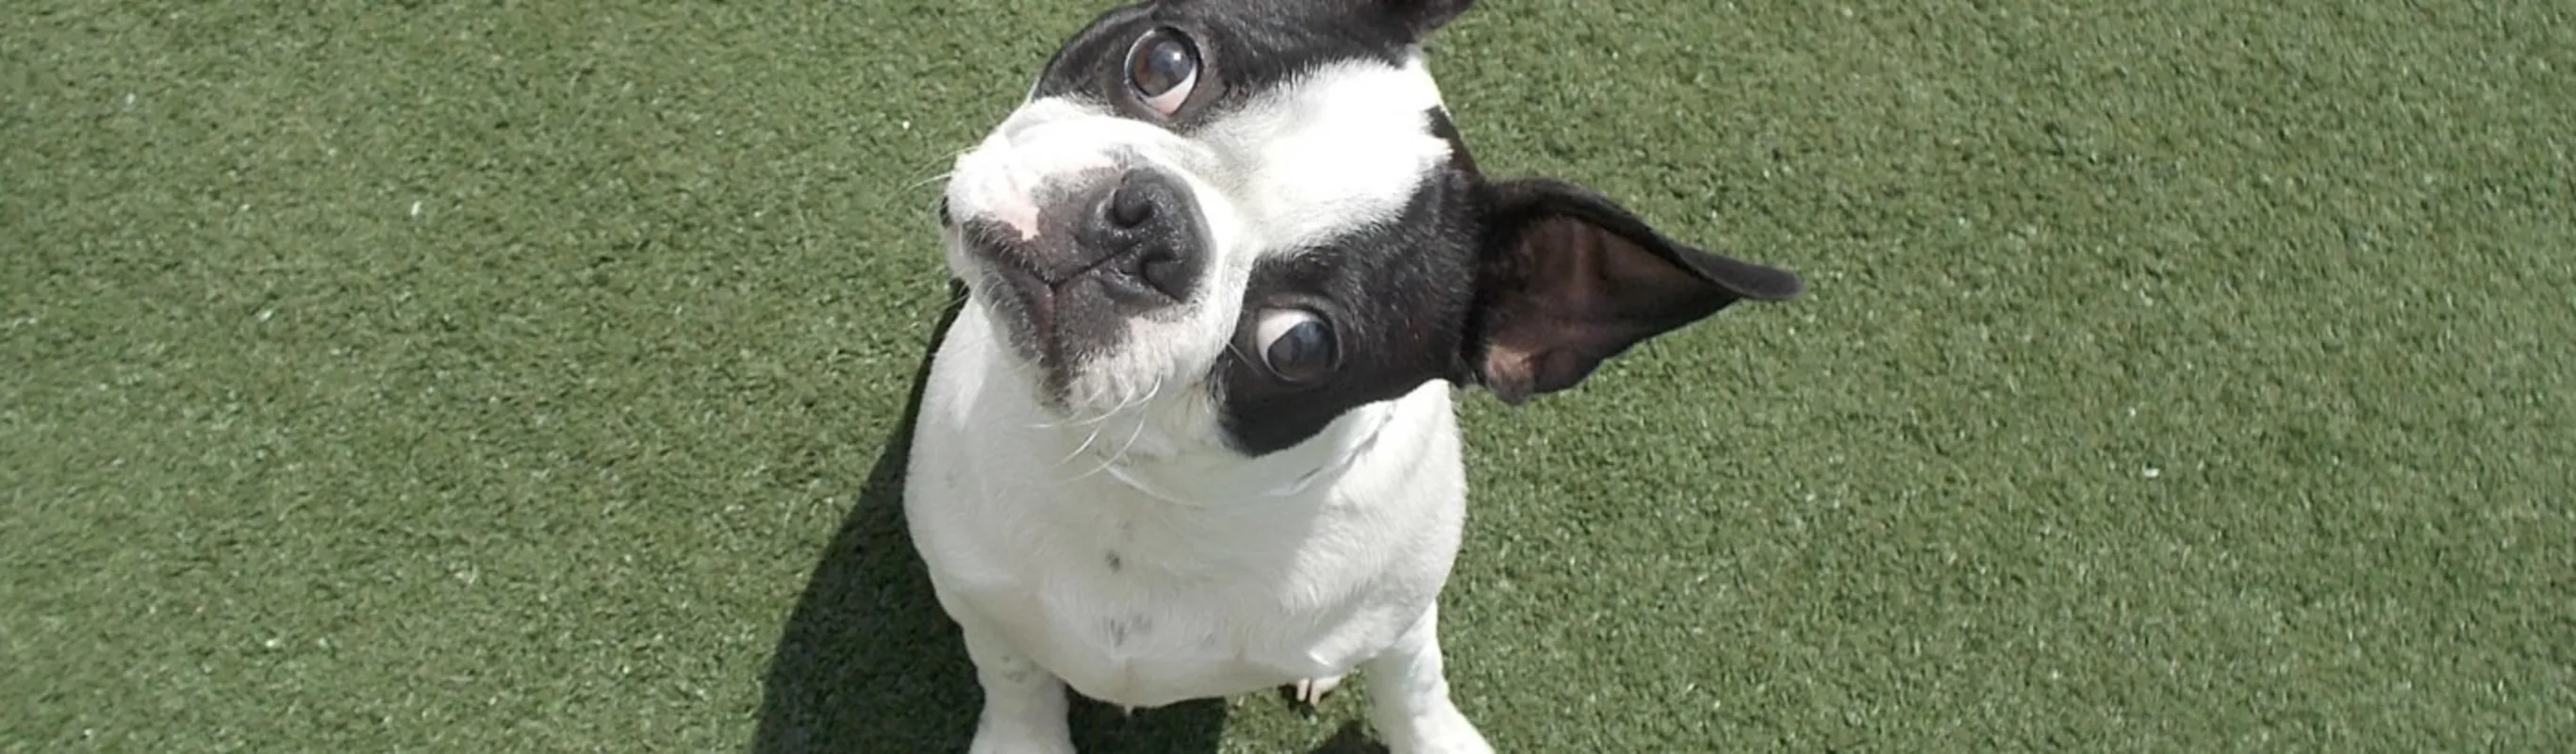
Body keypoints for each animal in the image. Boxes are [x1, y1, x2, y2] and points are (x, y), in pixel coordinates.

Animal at [906, 3, 1813, 746]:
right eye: (1162, 62)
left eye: (1300, 347)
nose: (1146, 226)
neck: (1149, 486)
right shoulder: (976, 596)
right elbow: (1016, 678)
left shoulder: (1402, 621)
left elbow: (1414, 691)